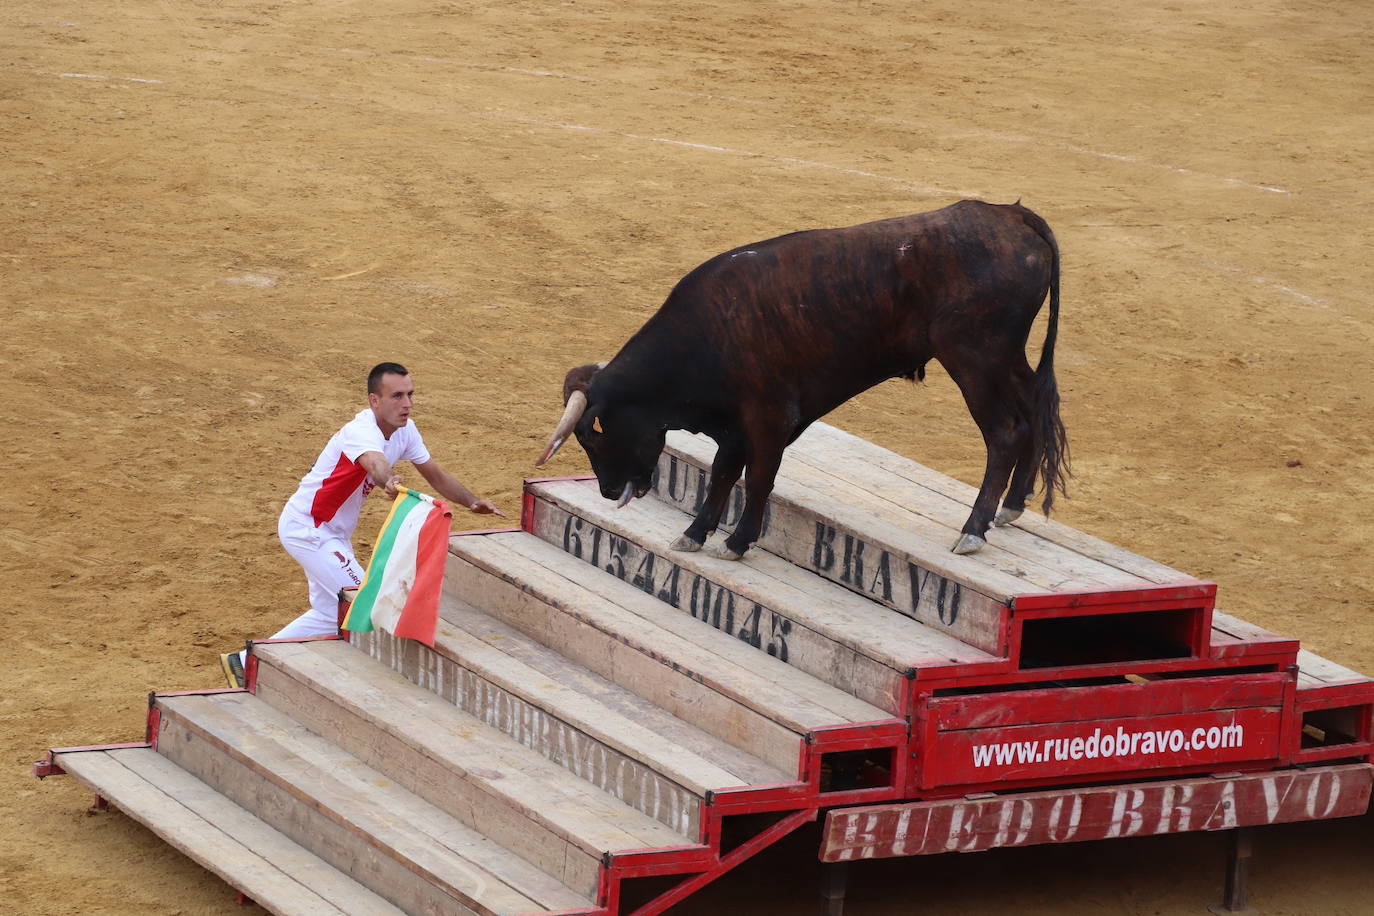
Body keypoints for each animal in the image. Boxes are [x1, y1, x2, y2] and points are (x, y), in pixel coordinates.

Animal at [530, 200, 1066, 560]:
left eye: (594, 436)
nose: (605, 491)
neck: (709, 331)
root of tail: (1011, 215)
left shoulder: (767, 419)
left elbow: (758, 479)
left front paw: (737, 542)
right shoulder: (735, 425)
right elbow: (724, 475)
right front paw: (695, 535)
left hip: (975, 358)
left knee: (1005, 431)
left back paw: (974, 529)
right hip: (1004, 359)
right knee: (1036, 411)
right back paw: (1012, 505)